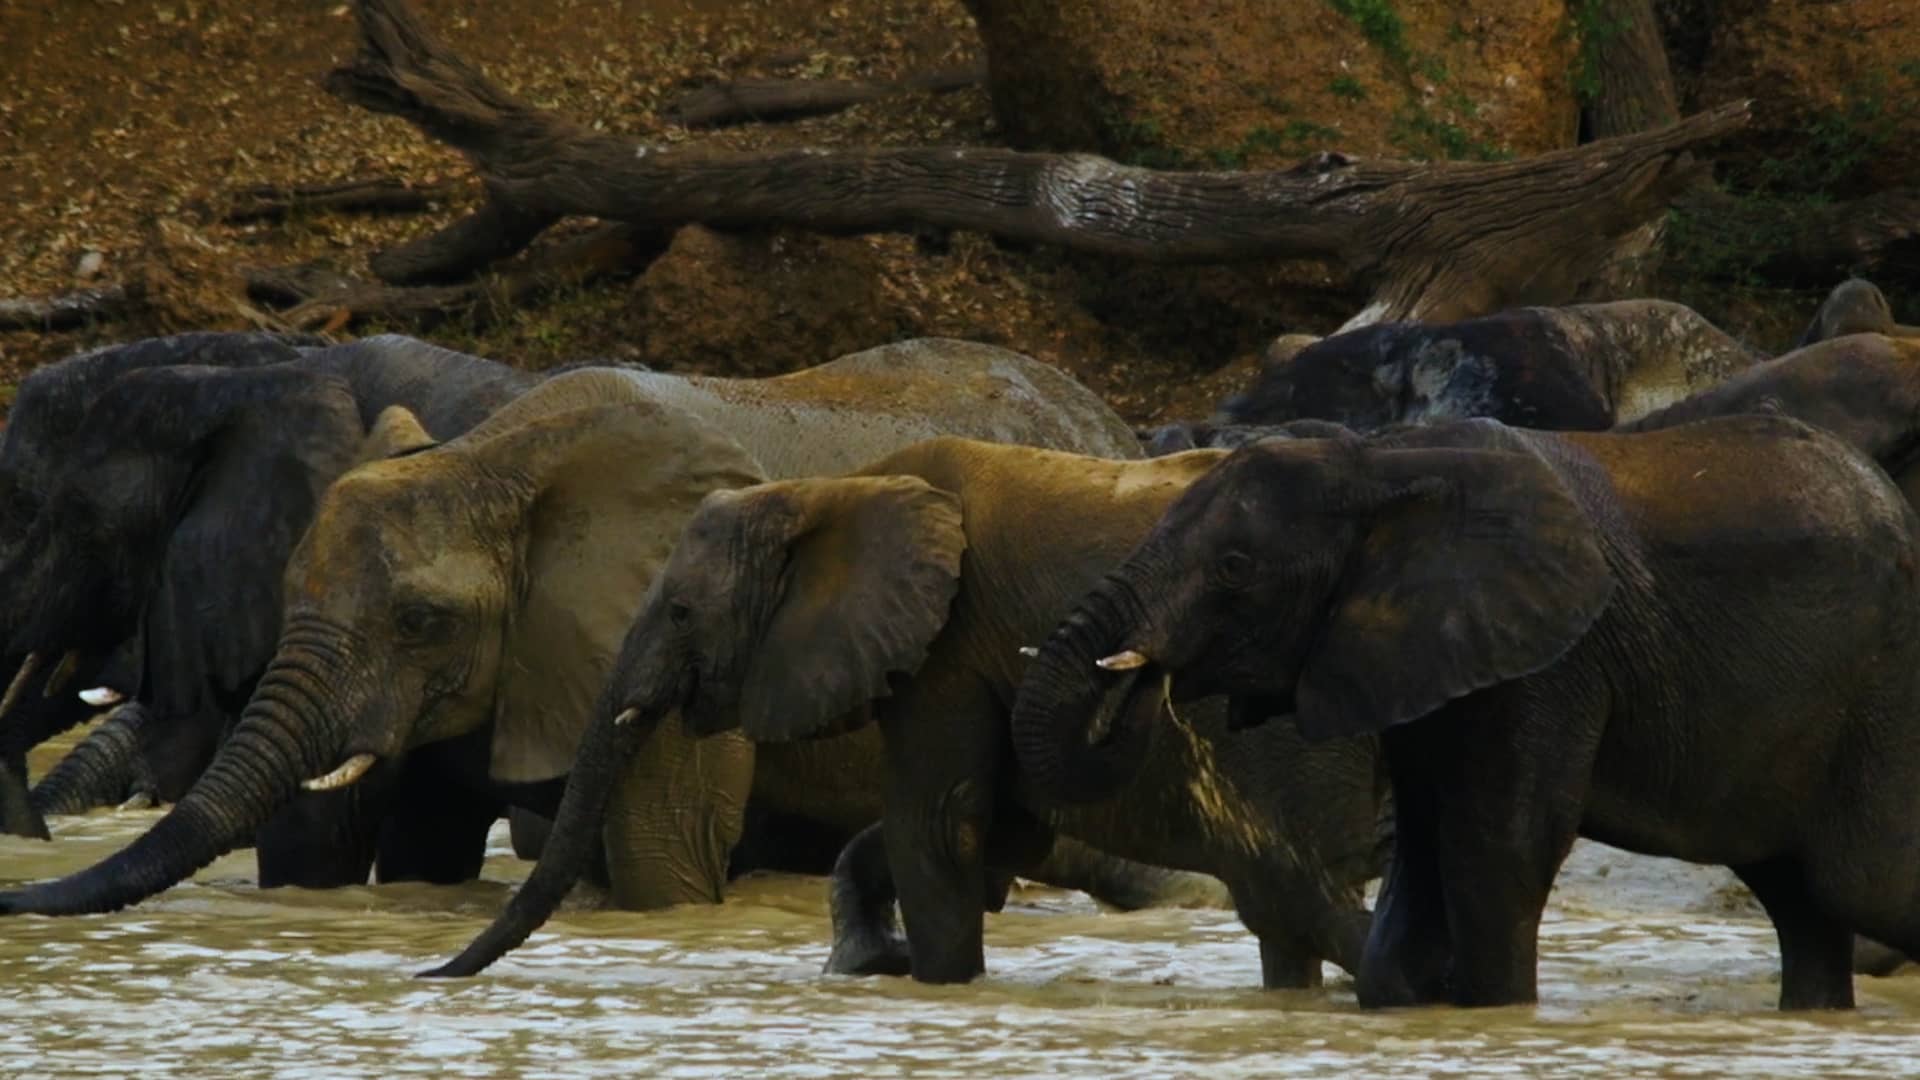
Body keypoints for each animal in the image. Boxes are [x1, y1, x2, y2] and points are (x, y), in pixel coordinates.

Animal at [426, 436, 1388, 986]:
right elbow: (996, 828)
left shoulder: (948, 640)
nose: (432, 975)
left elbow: (942, 824)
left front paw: (934, 984)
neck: (831, 490)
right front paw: (874, 963)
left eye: (684, 612)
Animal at [1014, 413, 1920, 1011]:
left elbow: (1498, 843)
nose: (1146, 674)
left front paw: (1495, 1011)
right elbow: (1425, 842)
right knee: (1801, 895)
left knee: (1860, 880)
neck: (1378, 459)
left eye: (1235, 568)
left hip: (1879, 691)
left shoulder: (1551, 658)